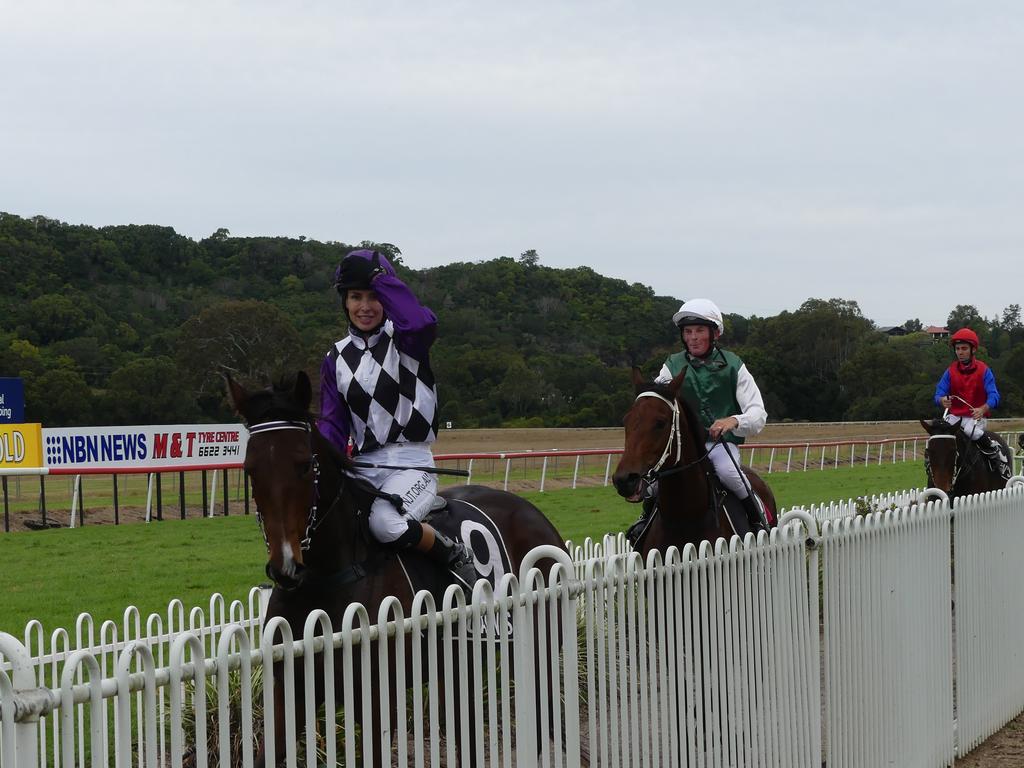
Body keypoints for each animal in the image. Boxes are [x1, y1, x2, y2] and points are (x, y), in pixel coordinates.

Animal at [226, 370, 569, 765]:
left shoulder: (377, 701)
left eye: (303, 464)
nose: (285, 565)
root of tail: (533, 513)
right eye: (250, 469)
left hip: (538, 646)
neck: (326, 579)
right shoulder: (290, 695)